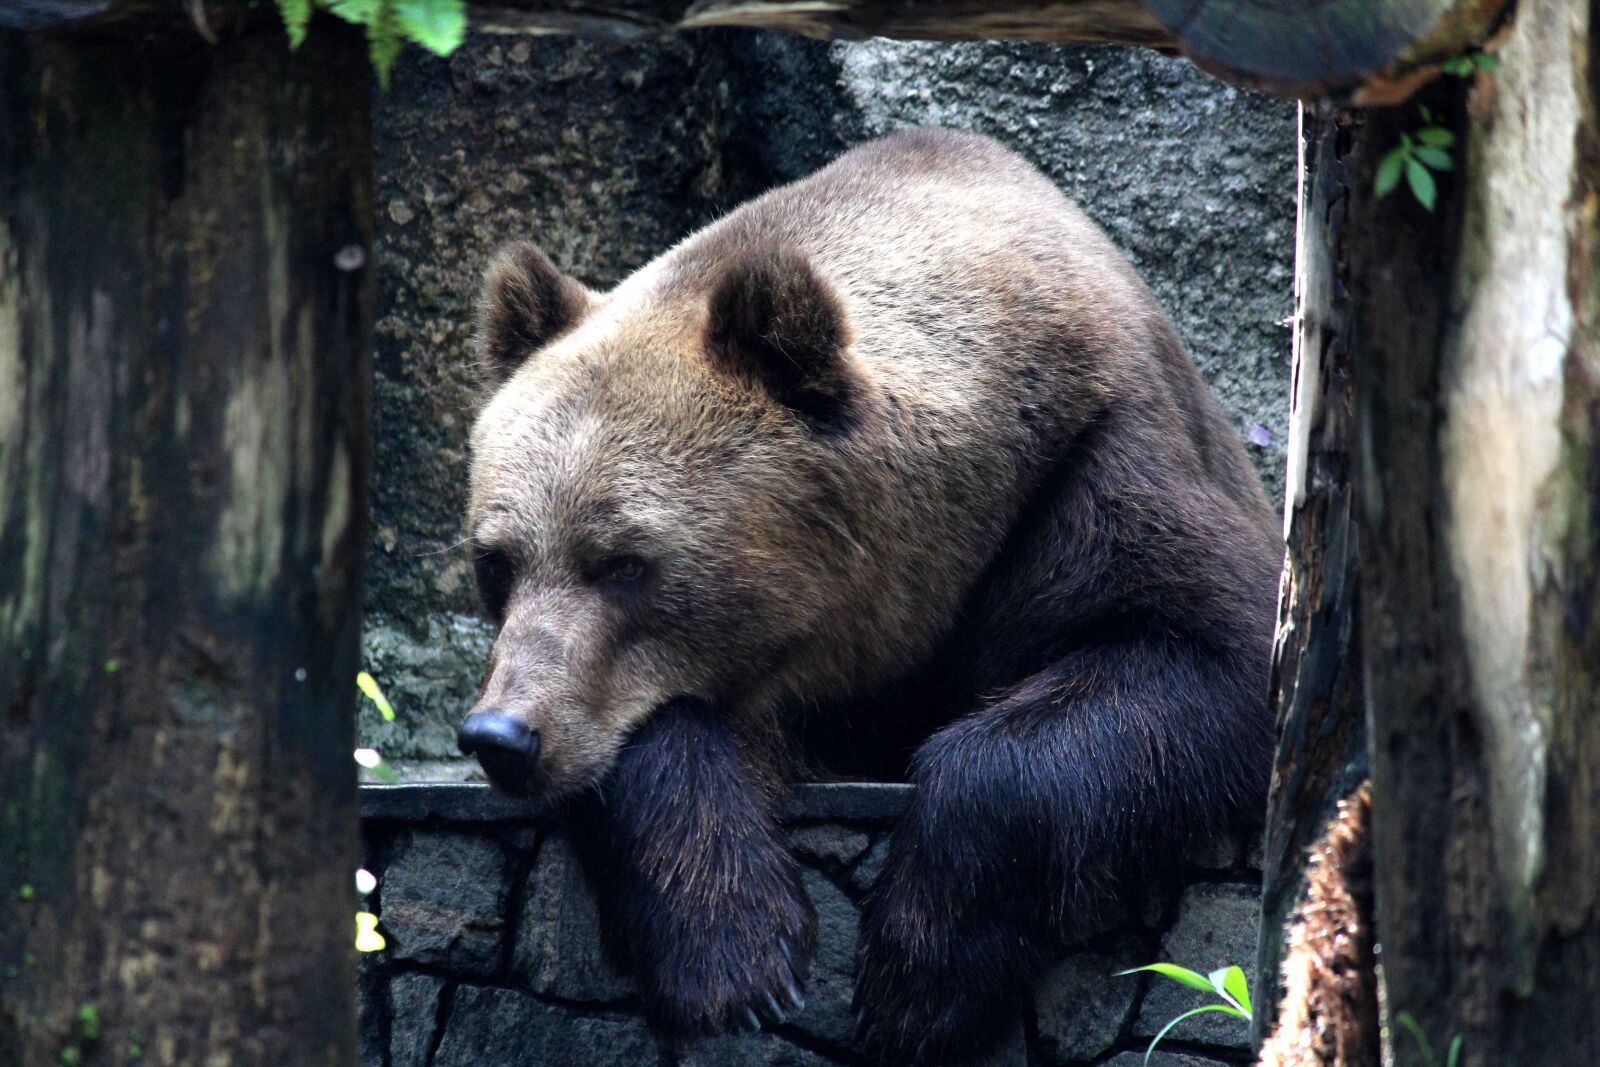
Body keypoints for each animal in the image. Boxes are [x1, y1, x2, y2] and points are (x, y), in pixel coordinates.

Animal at [455, 128, 1280, 1066]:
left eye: (625, 561)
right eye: (496, 560)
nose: (501, 734)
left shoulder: (1096, 462)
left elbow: (1201, 651)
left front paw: (916, 977)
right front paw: (737, 951)